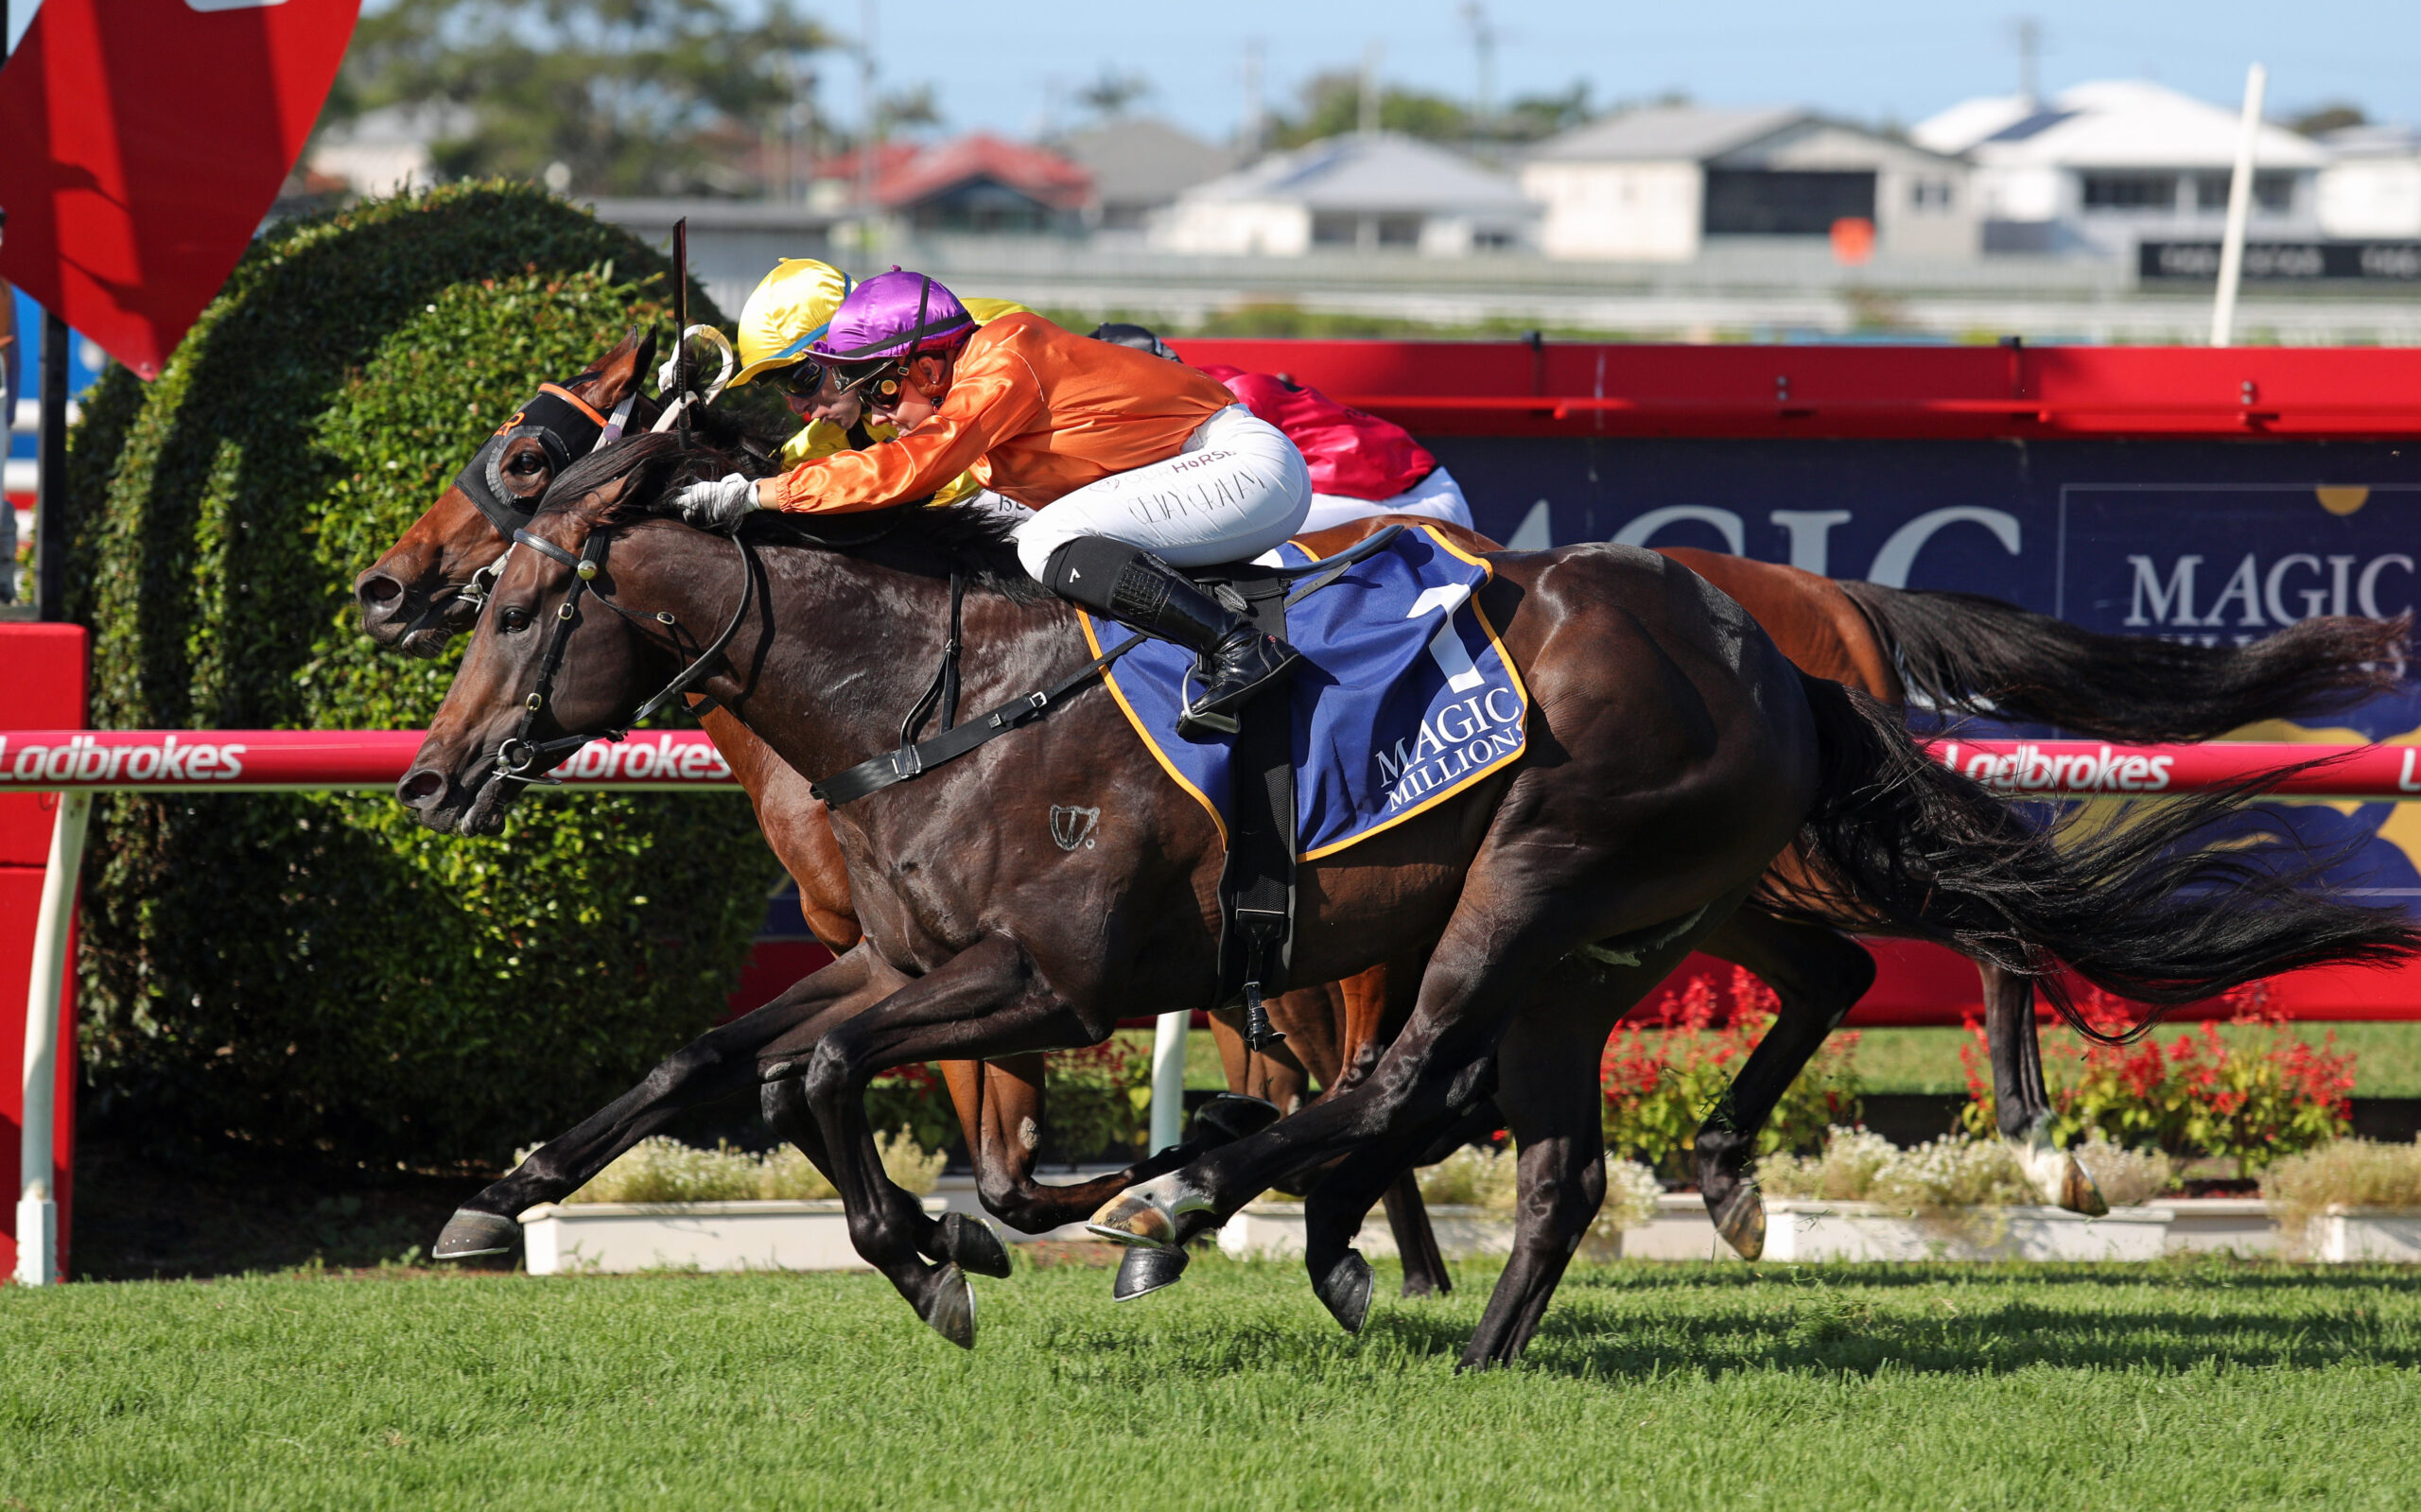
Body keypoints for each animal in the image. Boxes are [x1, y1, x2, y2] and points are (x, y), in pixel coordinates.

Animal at [362, 328, 2411, 1274]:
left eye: (530, 489)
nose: (392, 610)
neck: (924, 690)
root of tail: (1788, 619)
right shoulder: (909, 954)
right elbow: (747, 1065)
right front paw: (498, 1194)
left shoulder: (1056, 965)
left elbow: (943, 1114)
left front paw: (1115, 1210)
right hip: (1694, 878)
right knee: (1835, 973)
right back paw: (1725, 1166)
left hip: (1655, 861)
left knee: (1958, 936)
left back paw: (2008, 1130)